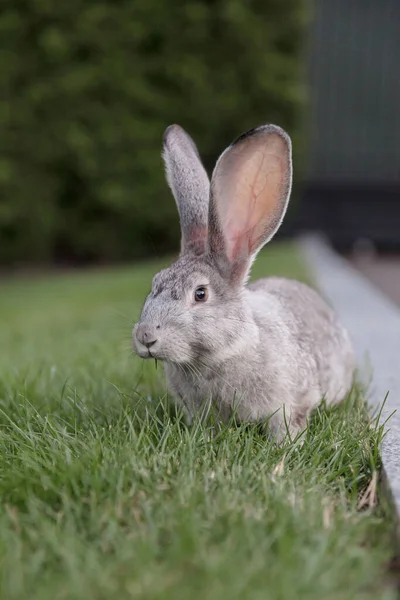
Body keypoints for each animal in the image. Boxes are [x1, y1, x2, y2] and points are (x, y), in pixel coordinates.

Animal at [133, 123, 354, 440]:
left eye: (200, 294)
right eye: (155, 282)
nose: (146, 336)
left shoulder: (289, 401)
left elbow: (286, 422)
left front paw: (285, 446)